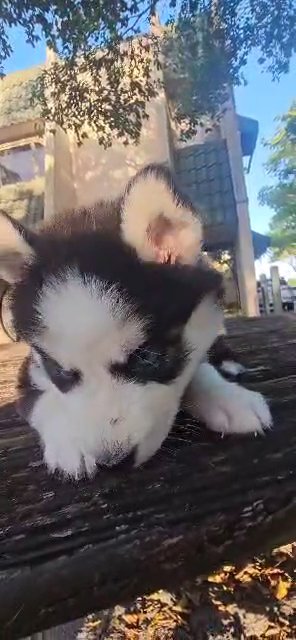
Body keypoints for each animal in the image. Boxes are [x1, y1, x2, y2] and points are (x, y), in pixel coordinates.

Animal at [0, 162, 272, 478]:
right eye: (59, 371)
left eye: (149, 357)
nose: (113, 463)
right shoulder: (31, 369)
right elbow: (42, 398)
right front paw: (70, 441)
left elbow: (196, 365)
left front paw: (228, 397)